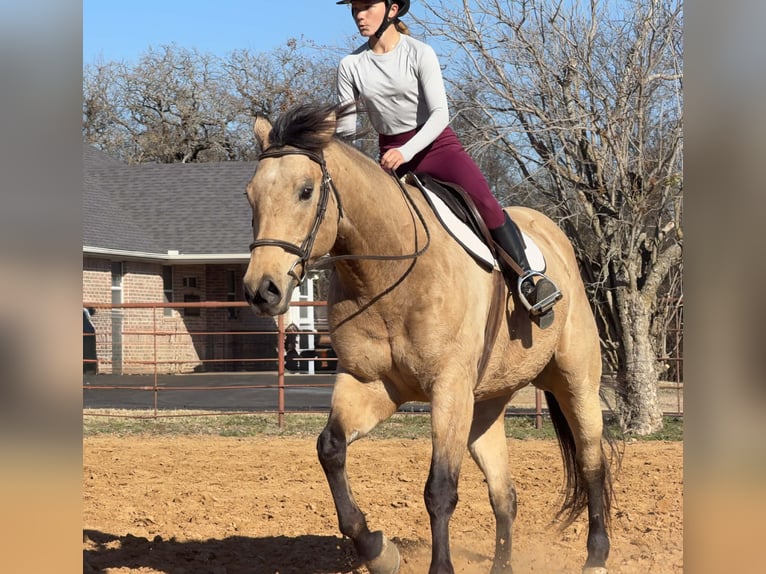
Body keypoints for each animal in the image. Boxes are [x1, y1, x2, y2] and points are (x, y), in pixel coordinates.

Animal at [243, 102, 613, 574]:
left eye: (306, 191)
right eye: (250, 195)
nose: (262, 289)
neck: (388, 275)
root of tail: (555, 236)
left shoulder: (448, 390)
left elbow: (439, 489)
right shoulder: (369, 384)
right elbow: (330, 449)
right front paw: (377, 549)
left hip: (575, 383)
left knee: (591, 462)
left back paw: (596, 556)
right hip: (484, 407)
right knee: (504, 494)